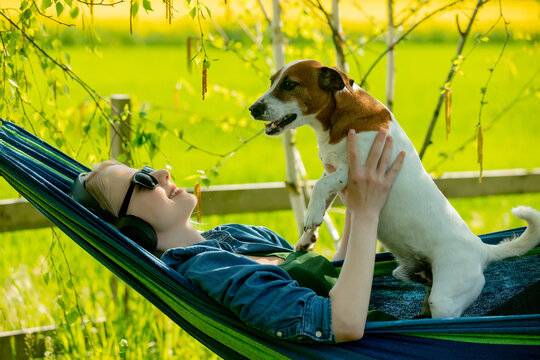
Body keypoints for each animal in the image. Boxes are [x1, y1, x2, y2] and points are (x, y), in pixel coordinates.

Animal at [251, 59, 540, 318]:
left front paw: (310, 218)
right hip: (409, 276)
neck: (341, 117)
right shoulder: (333, 170)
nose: (253, 109)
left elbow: (320, 187)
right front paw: (307, 236)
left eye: (290, 84)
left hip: (445, 300)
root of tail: (482, 249)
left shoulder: (356, 169)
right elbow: (322, 192)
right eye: (272, 81)